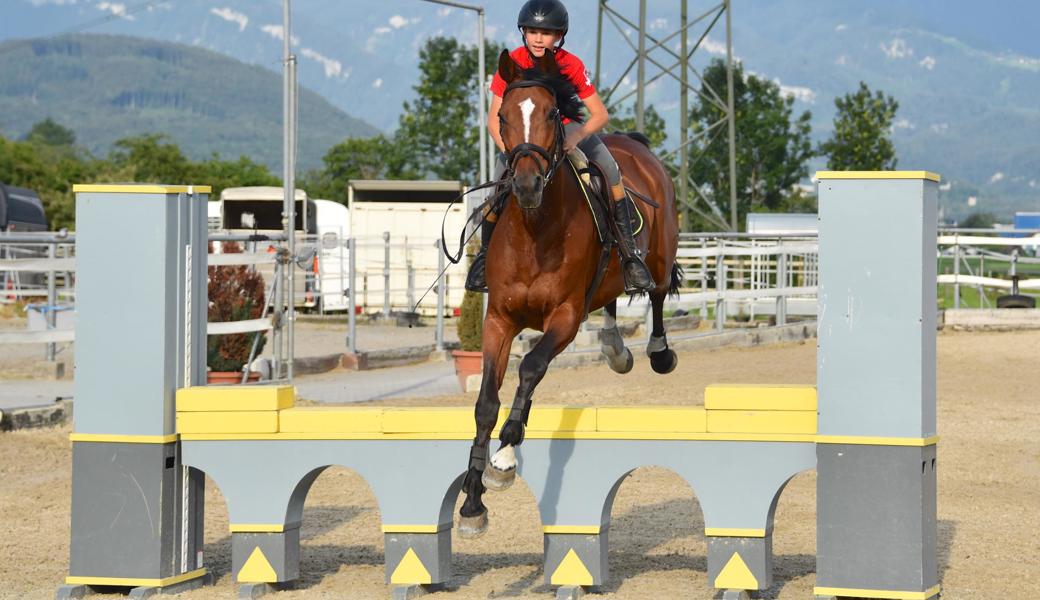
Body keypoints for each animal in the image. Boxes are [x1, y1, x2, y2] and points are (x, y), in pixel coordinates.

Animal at [457, 51, 682, 536]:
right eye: (502, 116)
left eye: (550, 113)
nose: (525, 185)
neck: (534, 230)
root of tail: (636, 145)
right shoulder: (499, 319)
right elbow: (486, 402)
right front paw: (472, 503)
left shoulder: (564, 317)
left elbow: (530, 369)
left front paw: (504, 461)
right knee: (612, 297)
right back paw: (615, 349)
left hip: (659, 251)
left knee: (654, 292)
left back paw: (658, 351)